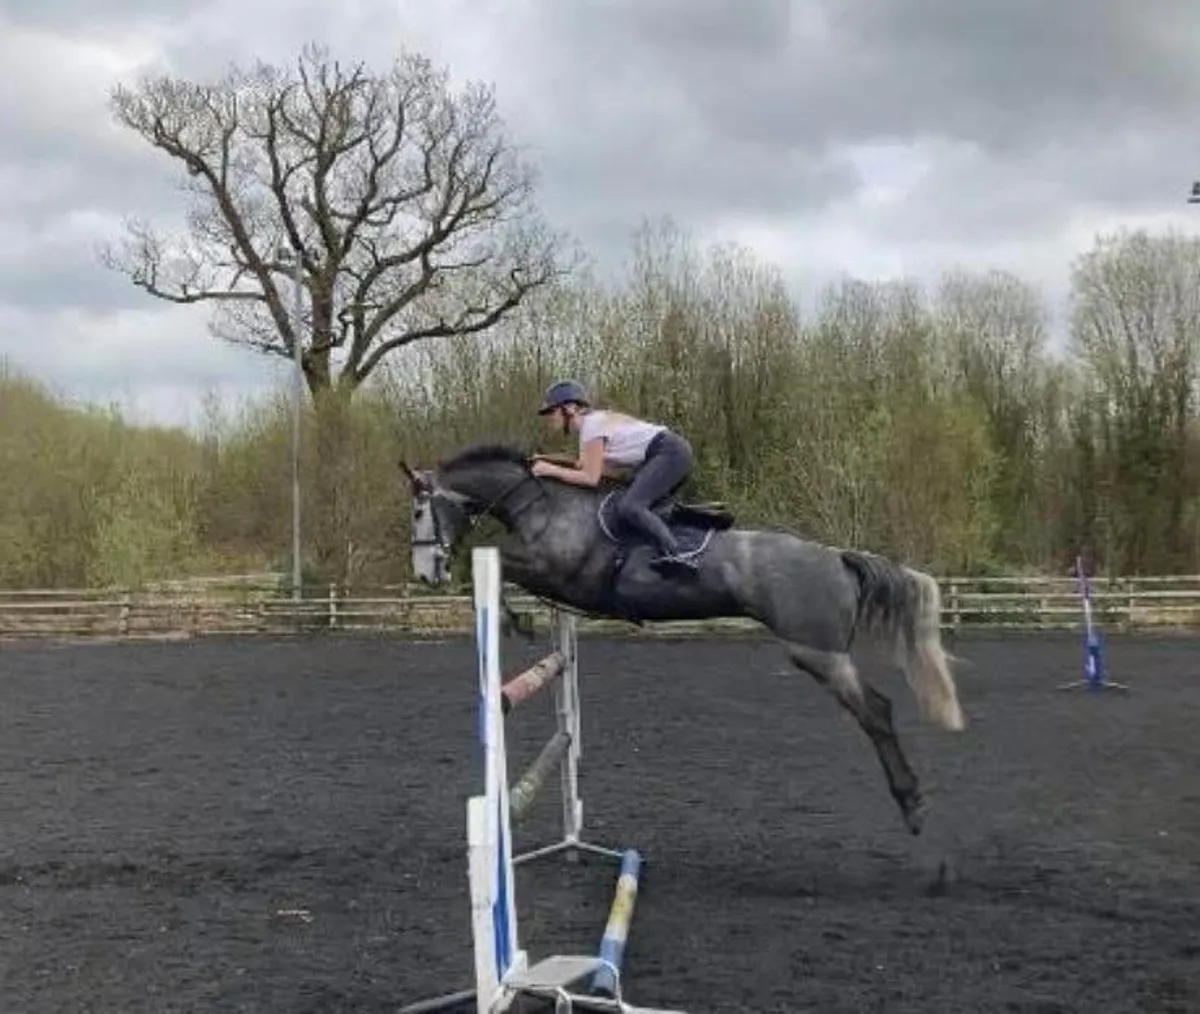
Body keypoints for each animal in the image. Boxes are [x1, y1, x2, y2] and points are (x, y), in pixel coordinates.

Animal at [401, 441, 965, 838]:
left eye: (418, 511)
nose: (426, 574)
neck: (543, 505)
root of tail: (838, 558)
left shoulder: (559, 572)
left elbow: (504, 566)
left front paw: (513, 621)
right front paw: (518, 619)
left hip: (817, 653)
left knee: (877, 712)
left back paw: (912, 805)